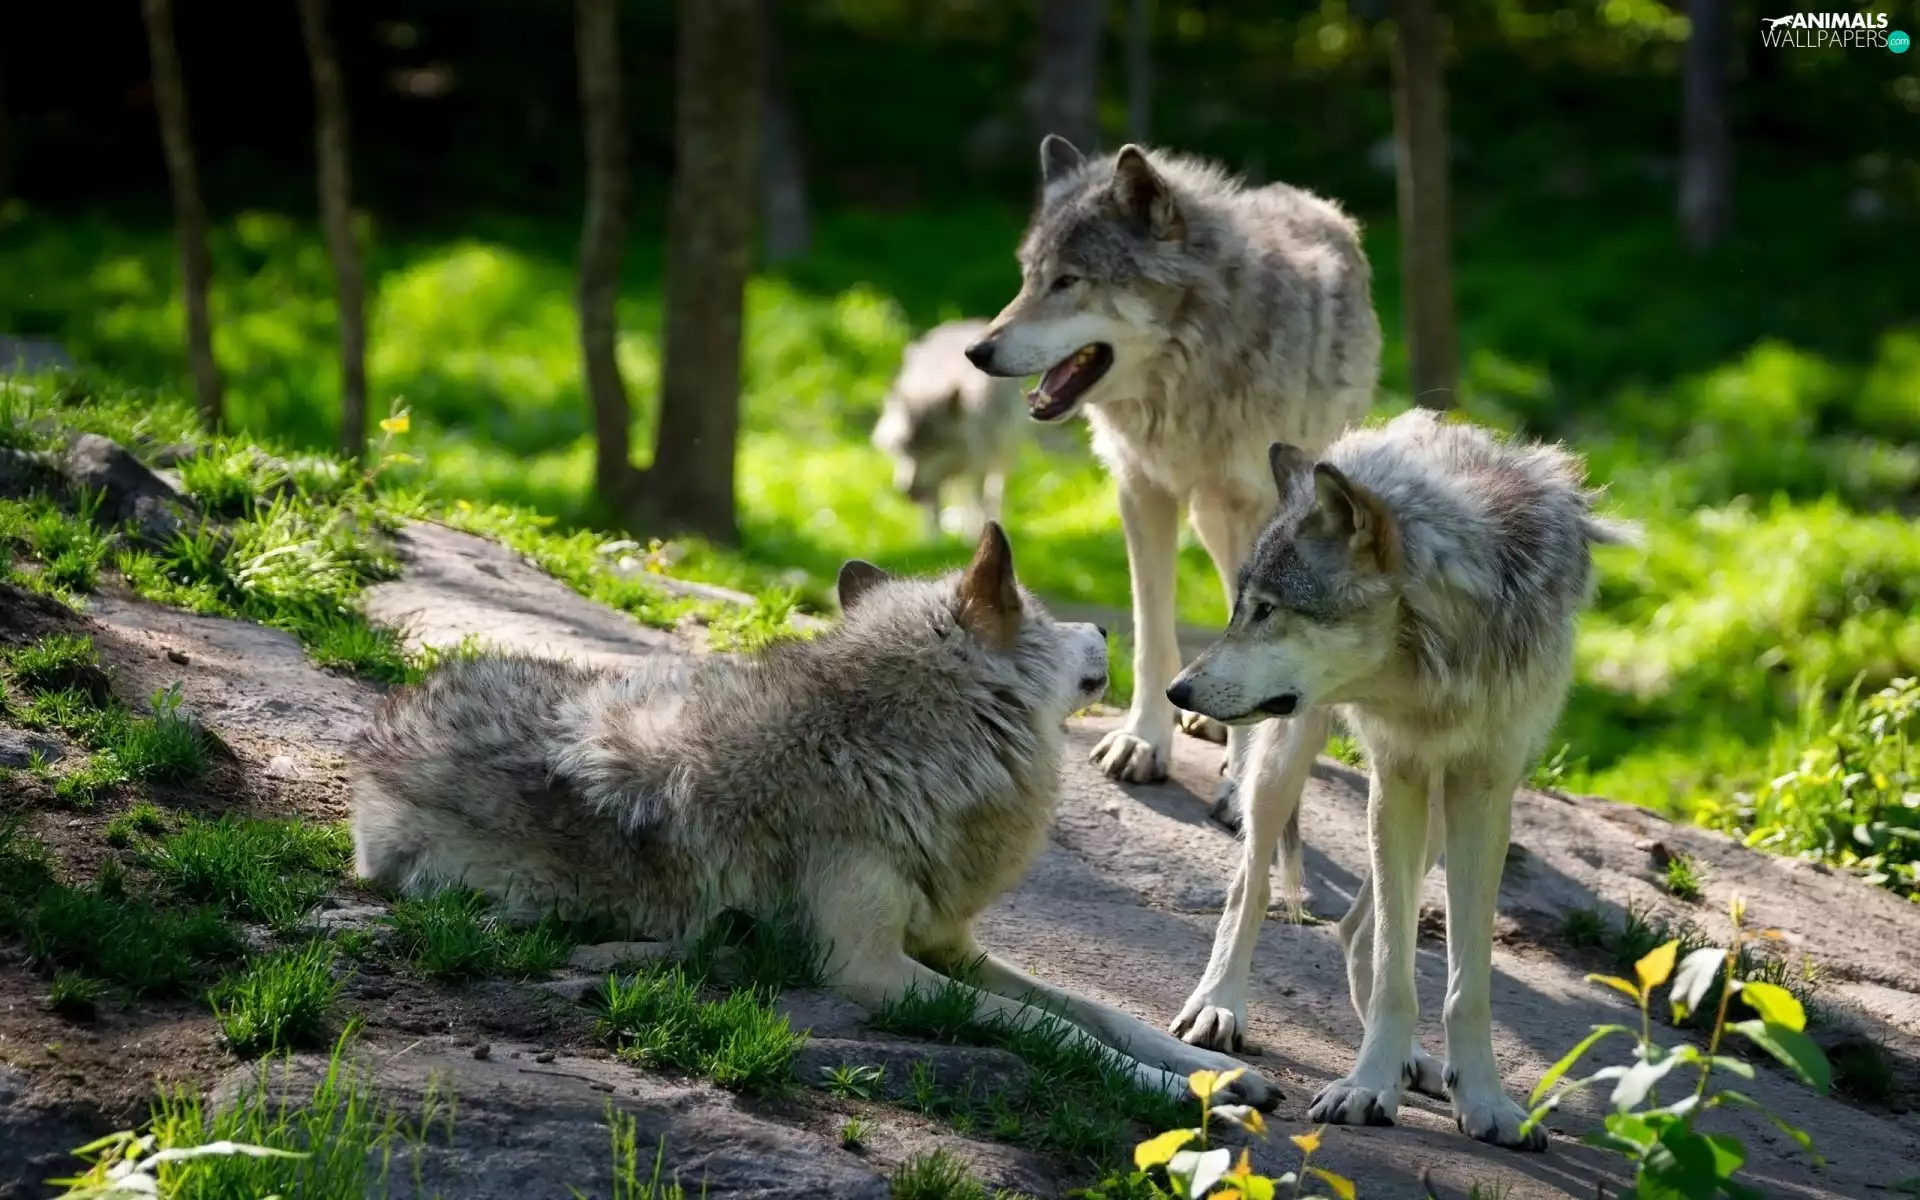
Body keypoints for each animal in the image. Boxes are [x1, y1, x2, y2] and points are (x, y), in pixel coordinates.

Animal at [351, 523, 1279, 1109]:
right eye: (1047, 617)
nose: (1105, 633)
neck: (886, 748)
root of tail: (385, 722)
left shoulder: (950, 945)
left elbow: (1100, 1011)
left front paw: (1212, 1071)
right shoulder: (872, 970)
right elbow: (1051, 1028)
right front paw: (1184, 1096)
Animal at [871, 319, 1028, 540]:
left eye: (933, 448)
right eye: (904, 447)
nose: (907, 492)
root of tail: (969, 321)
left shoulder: (977, 467)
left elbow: (977, 505)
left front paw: (974, 536)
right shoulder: (934, 482)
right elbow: (933, 516)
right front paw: (934, 543)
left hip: (1003, 457)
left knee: (995, 493)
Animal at [964, 136, 1380, 818]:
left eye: (1069, 281)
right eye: (1028, 276)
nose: (977, 351)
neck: (1189, 379)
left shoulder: (1252, 510)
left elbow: (1254, 627)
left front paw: (1240, 781)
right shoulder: (1141, 491)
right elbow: (1153, 631)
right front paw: (1143, 741)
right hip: (1208, 518)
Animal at [1161, 409, 1636, 1148]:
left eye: (1269, 610)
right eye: (1243, 608)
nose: (1177, 690)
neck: (1442, 653)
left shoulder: (1483, 787)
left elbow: (1466, 981)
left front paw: (1486, 1101)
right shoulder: (1399, 773)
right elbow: (1395, 968)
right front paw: (1365, 1088)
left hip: (1438, 812)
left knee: (1356, 929)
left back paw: (1415, 1062)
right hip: (1287, 761)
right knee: (1252, 885)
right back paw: (1218, 1007)